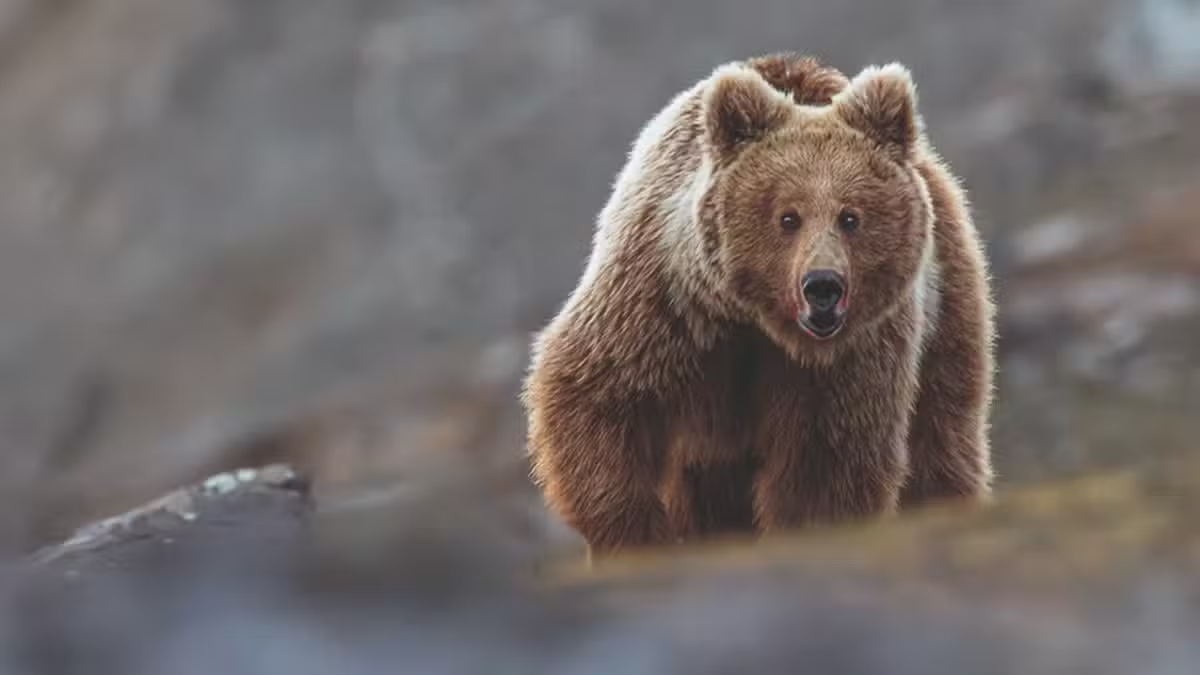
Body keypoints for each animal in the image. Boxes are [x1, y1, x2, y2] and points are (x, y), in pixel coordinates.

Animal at [521, 53, 996, 559]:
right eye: (788, 217)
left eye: (850, 217)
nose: (822, 286)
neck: (756, 322)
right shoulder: (663, 305)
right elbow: (596, 396)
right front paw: (637, 535)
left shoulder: (848, 359)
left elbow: (826, 461)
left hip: (947, 311)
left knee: (941, 436)